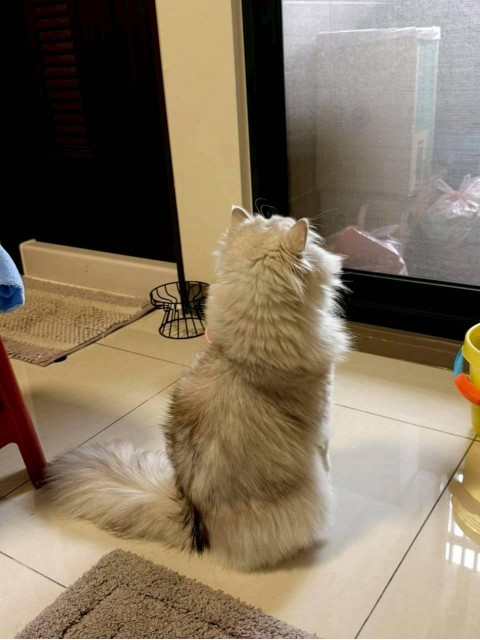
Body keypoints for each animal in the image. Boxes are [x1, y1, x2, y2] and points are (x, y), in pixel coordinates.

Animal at [45, 206, 351, 571]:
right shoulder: (322, 429)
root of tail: (192, 517)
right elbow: (328, 462)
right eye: (285, 222)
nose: (291, 216)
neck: (239, 352)